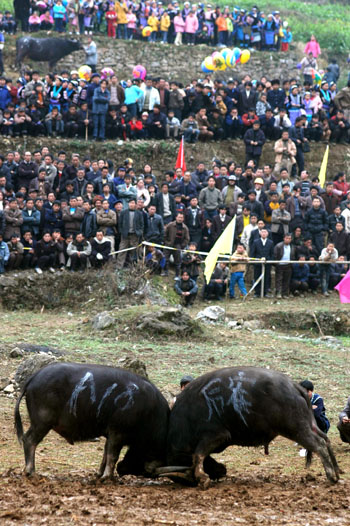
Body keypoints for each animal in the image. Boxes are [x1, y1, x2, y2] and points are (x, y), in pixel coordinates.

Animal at [14, 364, 170, 482]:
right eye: (151, 454)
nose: (121, 470)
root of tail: (34, 377)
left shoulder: (110, 434)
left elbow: (105, 454)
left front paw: (99, 475)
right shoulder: (117, 432)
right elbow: (112, 455)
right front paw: (107, 478)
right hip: (42, 422)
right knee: (29, 440)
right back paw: (31, 472)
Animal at [165, 370, 340, 488]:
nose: (222, 471)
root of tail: (295, 387)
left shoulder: (216, 435)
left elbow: (198, 455)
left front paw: (202, 477)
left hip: (295, 429)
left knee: (319, 444)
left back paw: (331, 476)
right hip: (309, 424)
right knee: (325, 439)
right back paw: (337, 471)